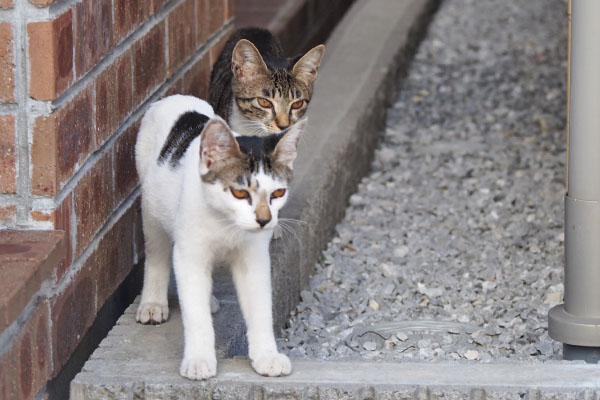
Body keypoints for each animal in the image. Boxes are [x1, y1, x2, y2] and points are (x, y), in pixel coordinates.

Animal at [136, 94, 304, 382]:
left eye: (278, 193)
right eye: (240, 193)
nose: (264, 219)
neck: (227, 224)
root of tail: (174, 97)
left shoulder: (254, 259)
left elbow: (260, 308)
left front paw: (266, 357)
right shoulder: (190, 255)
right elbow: (195, 313)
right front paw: (199, 360)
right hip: (151, 208)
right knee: (157, 253)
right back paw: (153, 302)